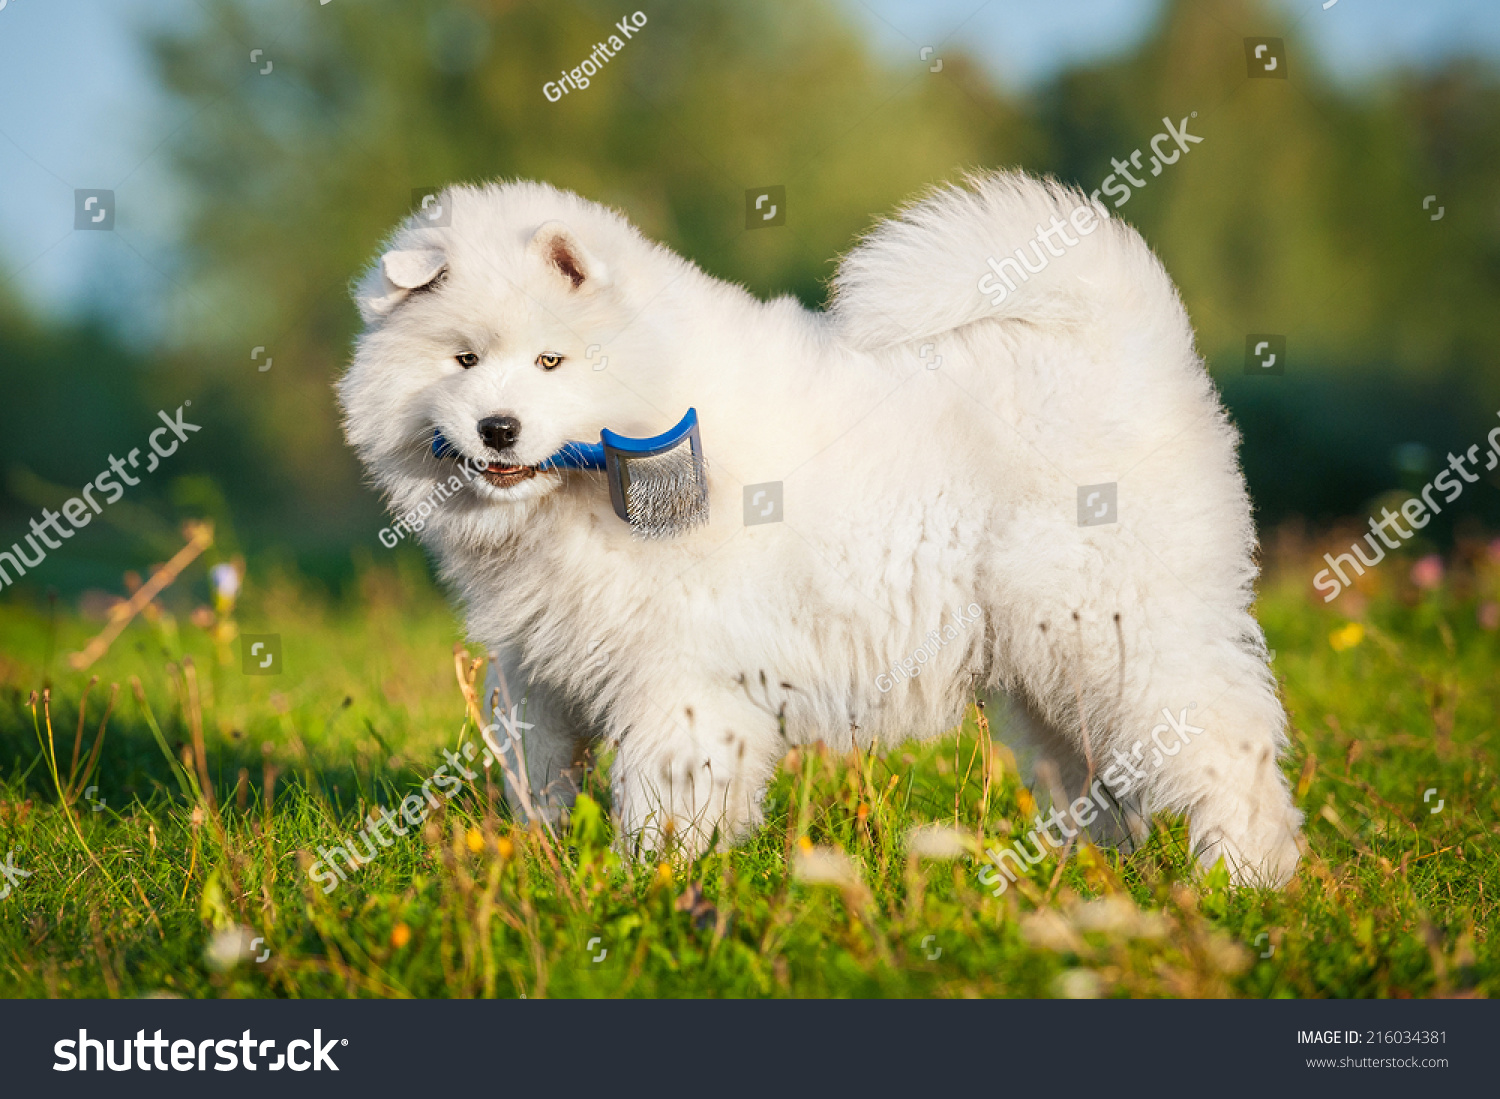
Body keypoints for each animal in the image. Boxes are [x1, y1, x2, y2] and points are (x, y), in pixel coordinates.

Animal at [337, 175, 1302, 887]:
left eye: (550, 360)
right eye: (462, 358)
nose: (497, 428)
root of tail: (1128, 345)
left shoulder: (683, 671)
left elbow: (664, 786)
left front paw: (652, 880)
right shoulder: (540, 664)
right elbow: (537, 767)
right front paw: (540, 858)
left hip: (1120, 627)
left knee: (1226, 743)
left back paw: (1246, 878)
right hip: (1047, 662)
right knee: (1094, 768)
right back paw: (1093, 877)